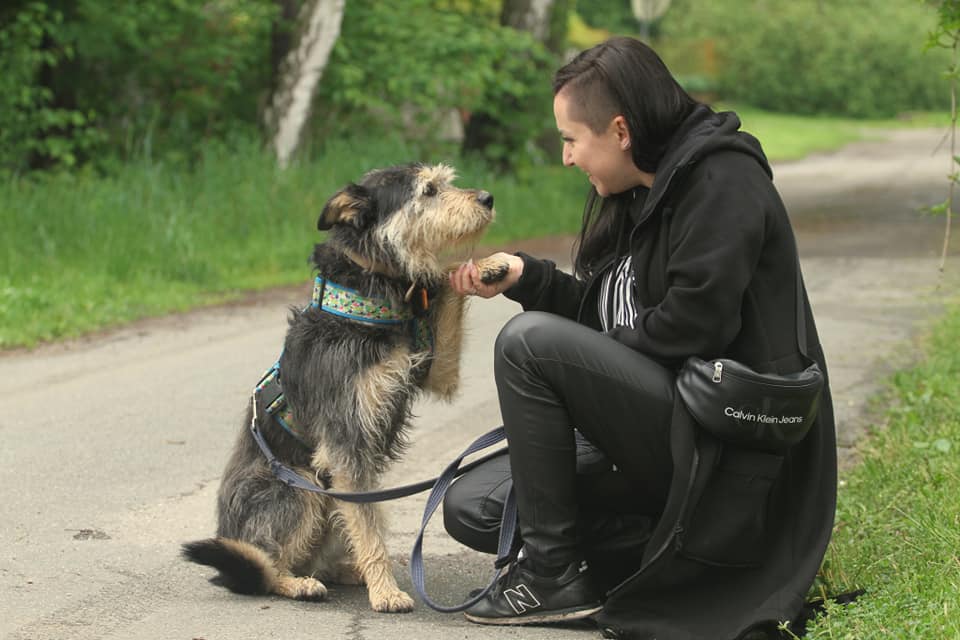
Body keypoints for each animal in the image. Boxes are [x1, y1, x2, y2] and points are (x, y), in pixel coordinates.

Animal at [182, 163, 508, 612]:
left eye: (445, 181)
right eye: (428, 190)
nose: (488, 198)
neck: (366, 296)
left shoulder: (435, 373)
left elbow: (445, 281)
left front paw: (487, 266)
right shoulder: (346, 441)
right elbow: (369, 529)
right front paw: (386, 592)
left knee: (327, 547)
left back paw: (345, 571)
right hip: (300, 487)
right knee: (267, 568)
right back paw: (299, 583)